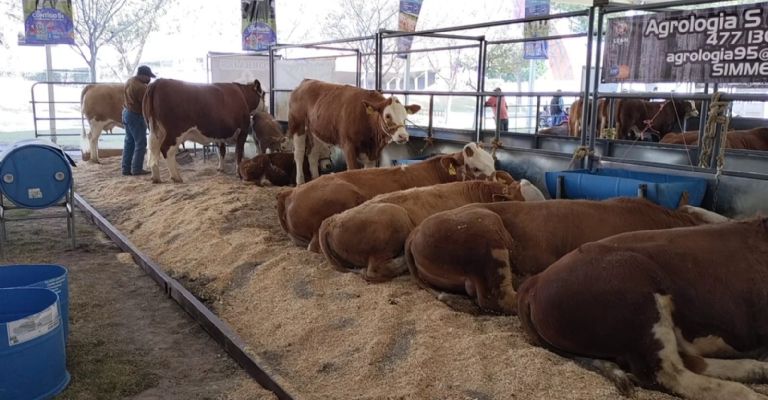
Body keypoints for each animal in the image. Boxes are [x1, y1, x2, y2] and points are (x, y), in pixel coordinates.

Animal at [287, 79, 421, 184]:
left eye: (405, 116)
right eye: (387, 116)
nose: (403, 136)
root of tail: (306, 82)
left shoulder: (372, 154)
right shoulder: (349, 146)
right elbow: (352, 170)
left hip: (315, 132)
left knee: (312, 155)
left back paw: (314, 180)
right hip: (298, 125)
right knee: (299, 154)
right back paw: (300, 181)